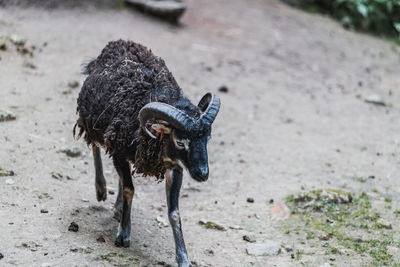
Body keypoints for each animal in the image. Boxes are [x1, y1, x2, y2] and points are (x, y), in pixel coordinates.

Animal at [73, 40, 220, 267]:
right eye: (180, 141)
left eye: (208, 138)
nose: (202, 174)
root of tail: (120, 42)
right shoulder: (119, 152)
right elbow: (129, 190)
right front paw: (123, 236)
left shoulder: (174, 168)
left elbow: (174, 213)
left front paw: (184, 259)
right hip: (92, 122)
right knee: (95, 146)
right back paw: (101, 189)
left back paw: (118, 209)